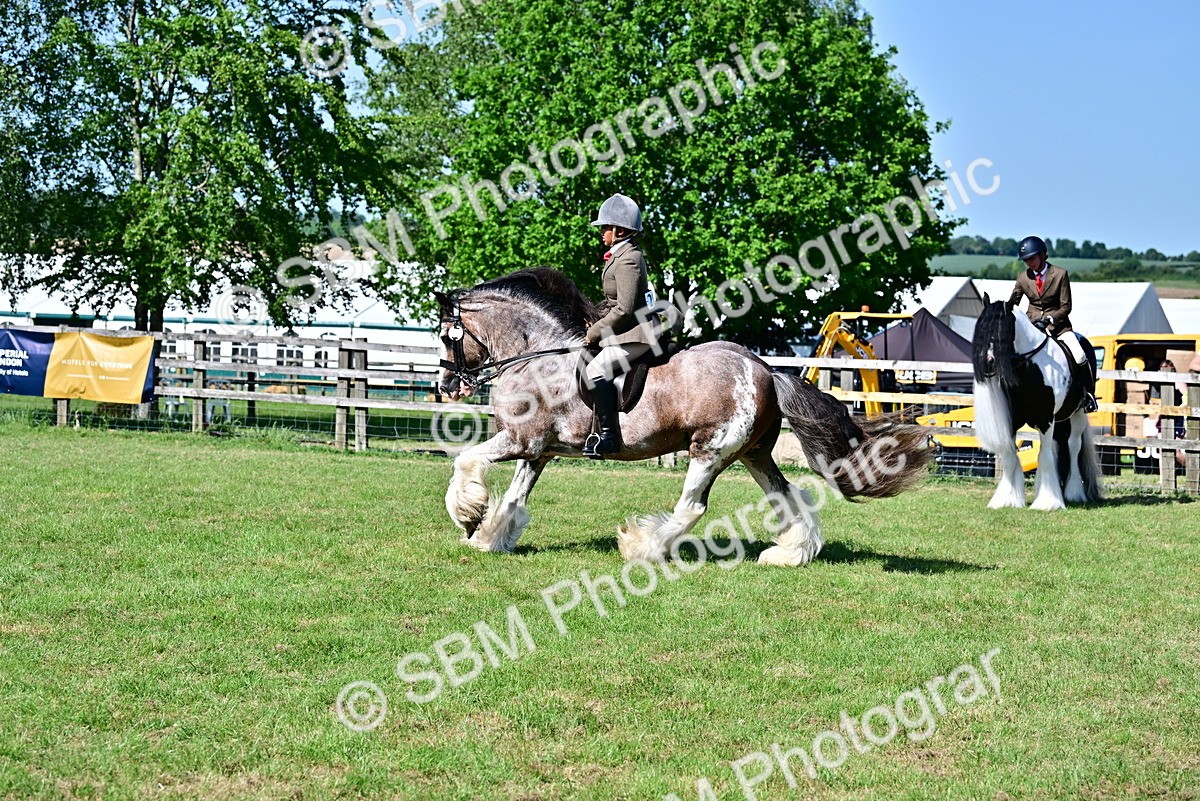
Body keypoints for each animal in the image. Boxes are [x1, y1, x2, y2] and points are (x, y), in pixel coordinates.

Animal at [434, 268, 932, 566]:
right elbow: (514, 499)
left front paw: (468, 516)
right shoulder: (538, 451)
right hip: (752, 453)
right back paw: (790, 555)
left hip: (709, 450)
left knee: (692, 507)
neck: (537, 357)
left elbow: (465, 461)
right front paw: (488, 537)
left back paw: (641, 546)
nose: (446, 387)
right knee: (786, 496)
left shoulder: (522, 441)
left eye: (445, 336)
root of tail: (764, 369)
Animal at [971, 295, 1102, 510]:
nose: (988, 362)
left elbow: (1044, 455)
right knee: (1058, 447)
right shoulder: (1013, 421)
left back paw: (1073, 493)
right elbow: (1010, 456)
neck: (1030, 368)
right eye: (981, 329)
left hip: (1078, 414)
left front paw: (1047, 502)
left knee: (1073, 446)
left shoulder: (1045, 419)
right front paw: (1007, 499)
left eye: (1004, 330)